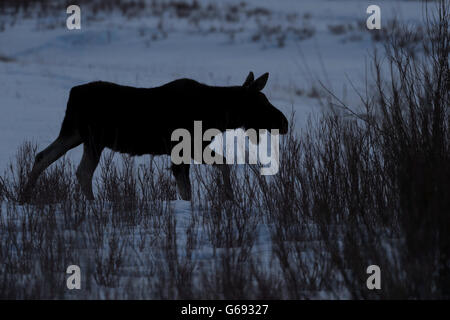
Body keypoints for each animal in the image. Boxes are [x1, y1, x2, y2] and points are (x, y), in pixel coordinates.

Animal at [20, 72, 288, 202]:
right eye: (262, 101)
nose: (284, 123)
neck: (218, 117)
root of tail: (72, 94)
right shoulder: (189, 147)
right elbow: (215, 169)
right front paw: (230, 198)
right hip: (93, 139)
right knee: (82, 171)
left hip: (74, 134)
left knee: (42, 156)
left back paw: (25, 197)